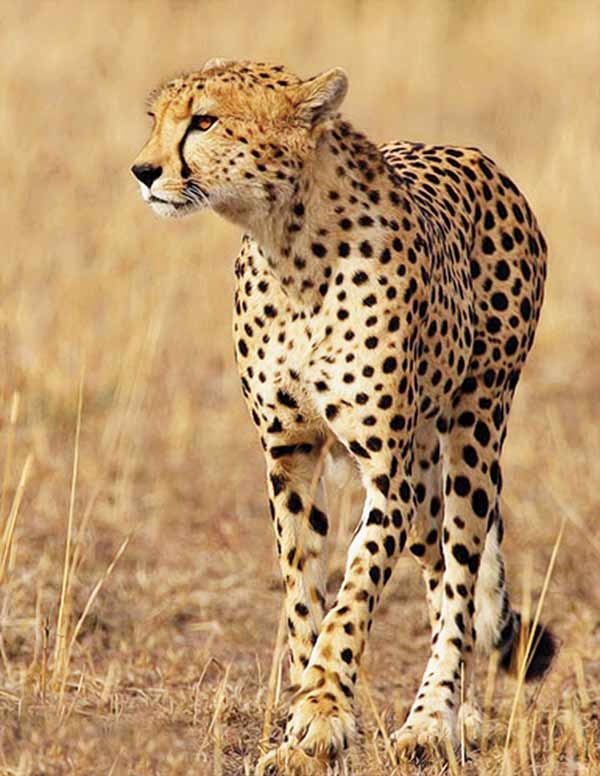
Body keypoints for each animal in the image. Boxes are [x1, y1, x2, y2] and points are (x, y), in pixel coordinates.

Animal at [132, 59, 555, 774]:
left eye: (205, 121)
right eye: (157, 119)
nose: (143, 171)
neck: (289, 248)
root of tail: (477, 156)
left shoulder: (386, 472)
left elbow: (353, 591)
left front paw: (324, 708)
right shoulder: (290, 457)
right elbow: (303, 588)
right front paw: (307, 726)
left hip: (475, 430)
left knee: (461, 572)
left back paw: (432, 720)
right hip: (426, 467)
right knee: (444, 572)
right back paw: (460, 712)